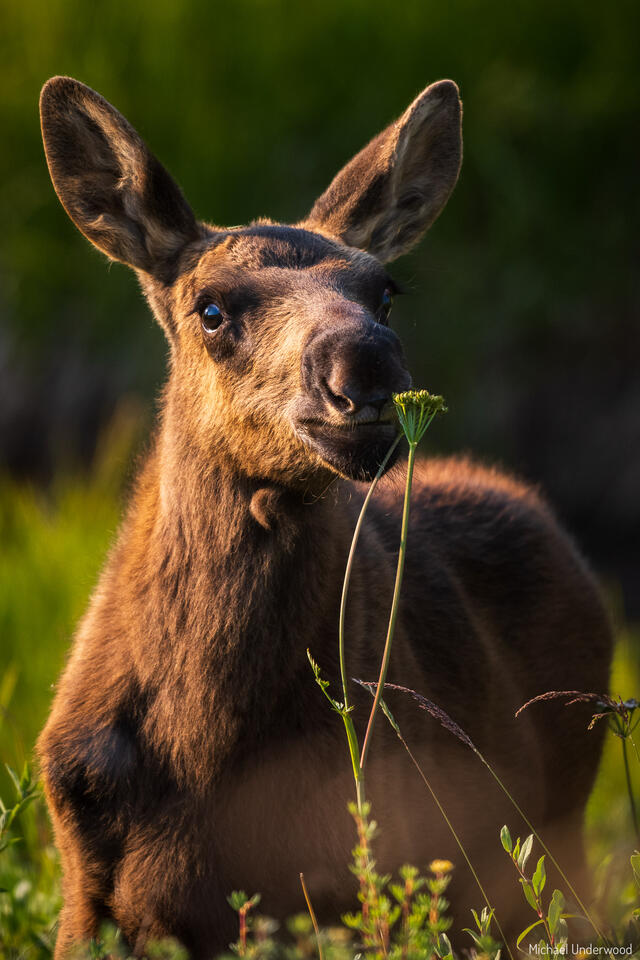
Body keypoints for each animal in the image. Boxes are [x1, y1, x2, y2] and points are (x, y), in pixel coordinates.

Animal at [38, 76, 612, 957]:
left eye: (385, 291)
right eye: (210, 308)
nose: (365, 363)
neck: (207, 755)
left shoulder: (360, 884)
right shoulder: (86, 894)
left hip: (554, 842)